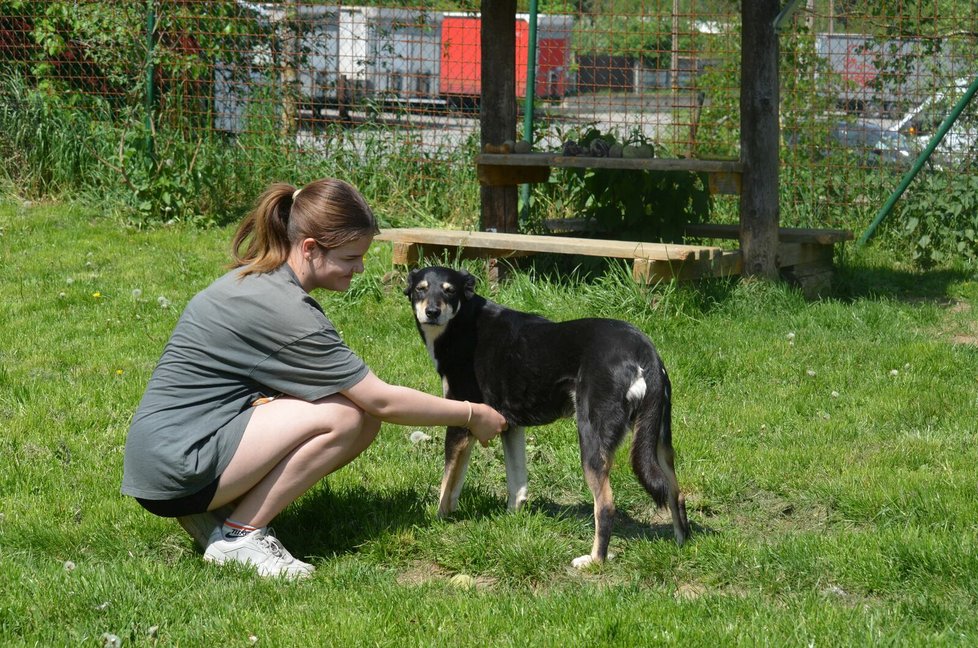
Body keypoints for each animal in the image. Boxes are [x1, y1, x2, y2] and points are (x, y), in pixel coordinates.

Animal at [400, 264, 692, 568]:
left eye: (450, 291)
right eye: (421, 288)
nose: (432, 311)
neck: (463, 322)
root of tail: (644, 349)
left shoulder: (460, 420)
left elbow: (448, 485)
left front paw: (438, 521)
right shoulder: (508, 425)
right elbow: (515, 482)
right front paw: (511, 519)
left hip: (591, 437)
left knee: (606, 505)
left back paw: (594, 560)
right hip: (658, 440)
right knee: (675, 492)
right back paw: (680, 544)